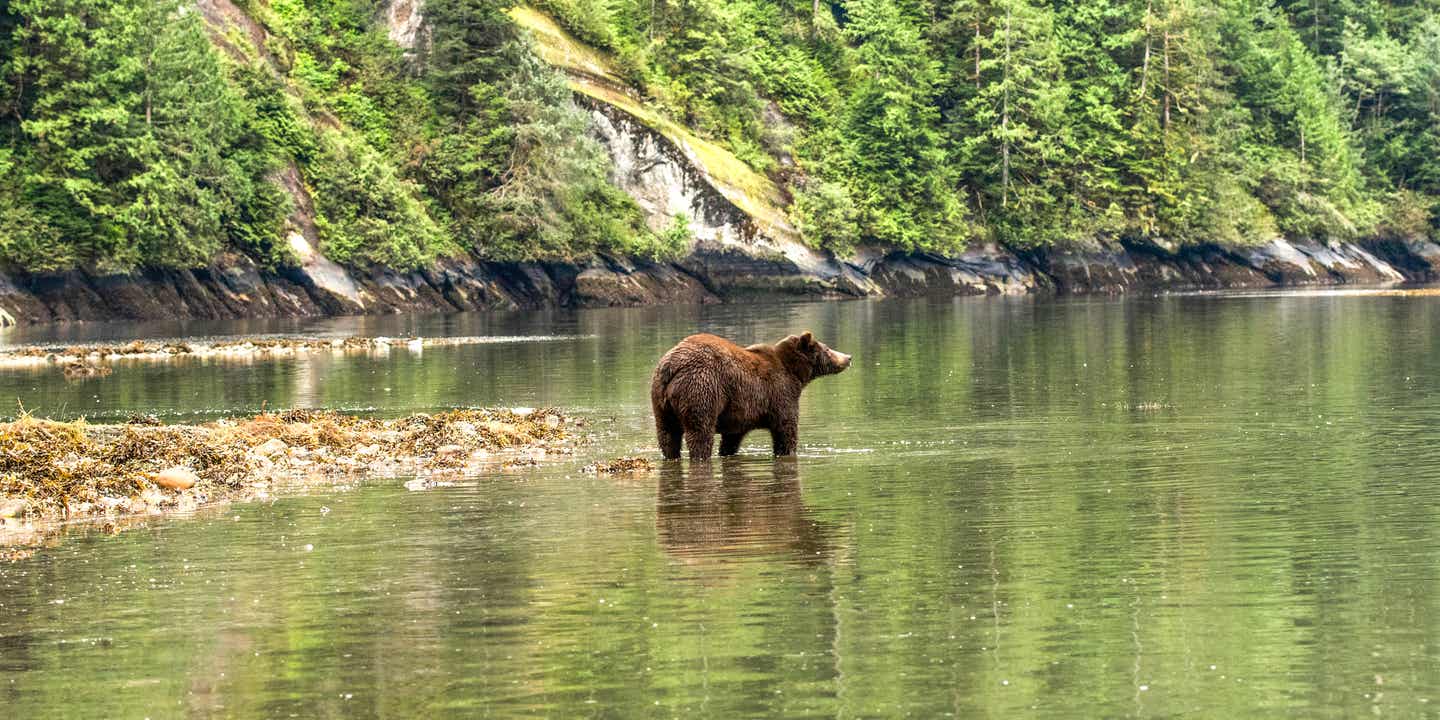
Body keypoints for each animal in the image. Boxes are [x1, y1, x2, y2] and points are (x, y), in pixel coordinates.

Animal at [650, 331, 852, 460]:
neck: (795, 373)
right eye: (827, 349)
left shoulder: (740, 413)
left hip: (659, 399)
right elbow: (786, 428)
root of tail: (672, 365)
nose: (848, 357)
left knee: (667, 434)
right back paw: (700, 455)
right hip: (702, 387)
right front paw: (787, 451)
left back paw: (671, 456)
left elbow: (732, 437)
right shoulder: (780, 393)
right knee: (700, 431)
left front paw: (727, 451)